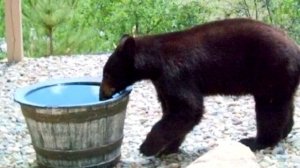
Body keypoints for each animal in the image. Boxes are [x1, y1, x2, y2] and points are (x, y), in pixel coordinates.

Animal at [99, 18, 300, 156]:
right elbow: (173, 111)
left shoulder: (175, 74)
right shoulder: (162, 82)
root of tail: (296, 49)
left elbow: (187, 107)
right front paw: (168, 147)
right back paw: (284, 132)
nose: (102, 95)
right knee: (283, 104)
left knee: (269, 108)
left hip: (271, 70)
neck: (154, 63)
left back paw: (256, 141)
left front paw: (147, 147)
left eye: (107, 74)